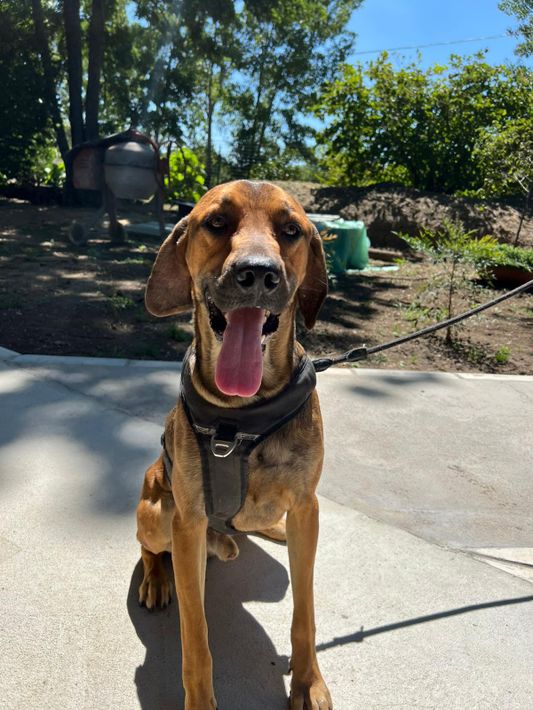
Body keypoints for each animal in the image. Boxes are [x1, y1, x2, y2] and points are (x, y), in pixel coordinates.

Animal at [136, 179, 331, 709]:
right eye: (217, 222)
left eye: (291, 230)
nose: (257, 274)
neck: (242, 416)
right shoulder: (188, 522)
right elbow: (196, 635)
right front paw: (200, 700)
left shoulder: (307, 506)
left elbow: (305, 612)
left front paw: (308, 682)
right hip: (156, 511)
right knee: (149, 549)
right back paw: (157, 579)